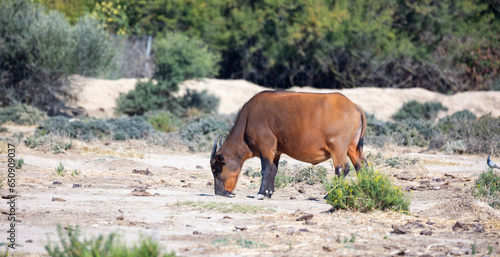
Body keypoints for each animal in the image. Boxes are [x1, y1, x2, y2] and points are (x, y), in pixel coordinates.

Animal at [209, 91, 366, 199]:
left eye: (216, 169)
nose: (219, 193)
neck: (249, 118)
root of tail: (353, 105)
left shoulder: (265, 148)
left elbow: (265, 169)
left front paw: (260, 193)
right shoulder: (276, 152)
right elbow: (273, 170)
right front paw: (268, 193)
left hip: (338, 149)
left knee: (342, 169)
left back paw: (330, 194)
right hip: (352, 148)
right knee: (362, 167)